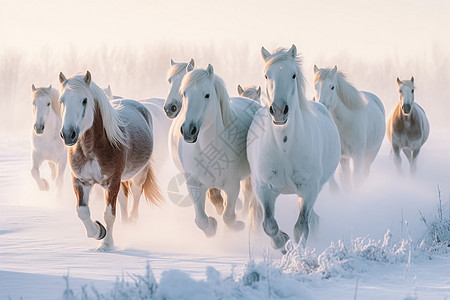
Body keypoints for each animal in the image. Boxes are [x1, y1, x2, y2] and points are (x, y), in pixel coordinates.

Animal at [57, 71, 161, 250]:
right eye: (61, 100)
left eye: (84, 100)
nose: (68, 134)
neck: (91, 149)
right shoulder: (80, 180)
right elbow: (82, 211)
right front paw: (98, 232)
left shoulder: (112, 182)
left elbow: (109, 215)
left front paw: (106, 244)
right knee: (124, 198)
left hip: (139, 174)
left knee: (136, 195)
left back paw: (132, 223)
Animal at [174, 63, 262, 237]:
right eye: (184, 94)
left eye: (207, 95)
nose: (188, 130)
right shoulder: (194, 184)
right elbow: (201, 220)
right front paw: (211, 226)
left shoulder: (232, 185)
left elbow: (228, 216)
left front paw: (237, 226)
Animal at [246, 45, 342, 251]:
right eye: (267, 75)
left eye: (293, 75)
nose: (279, 111)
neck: (284, 146)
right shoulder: (264, 188)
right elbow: (269, 224)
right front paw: (282, 242)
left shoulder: (309, 189)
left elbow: (301, 227)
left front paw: (297, 251)